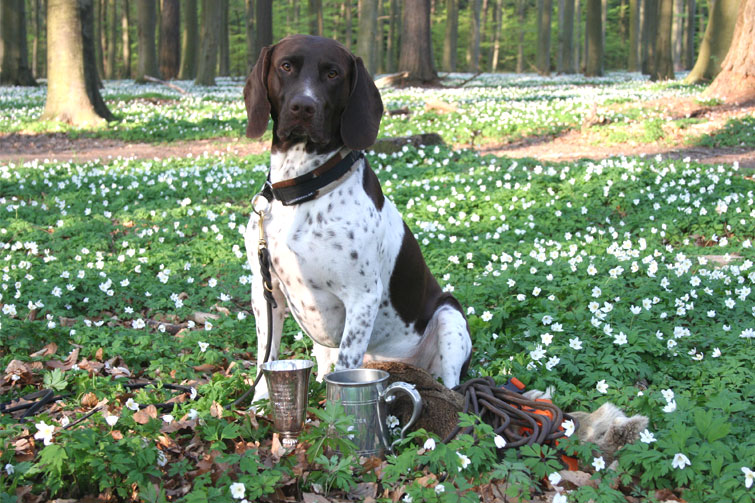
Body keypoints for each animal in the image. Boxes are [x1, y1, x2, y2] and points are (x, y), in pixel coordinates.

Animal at [245, 35, 470, 404]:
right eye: (286, 66)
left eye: (333, 73)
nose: (303, 107)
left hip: (450, 316)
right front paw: (260, 404)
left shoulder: (361, 297)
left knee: (456, 391)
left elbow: (346, 367)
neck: (304, 187)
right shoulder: (267, 291)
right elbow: (267, 356)